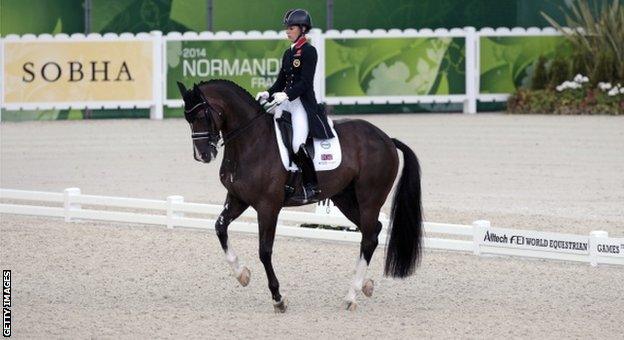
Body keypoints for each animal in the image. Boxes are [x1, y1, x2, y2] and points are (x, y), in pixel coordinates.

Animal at [176, 79, 424, 310]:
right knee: (372, 232)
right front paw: (242, 274)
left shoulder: (268, 206)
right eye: (187, 118)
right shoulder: (238, 199)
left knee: (369, 237)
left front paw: (278, 298)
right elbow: (220, 228)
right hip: (345, 198)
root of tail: (387, 139)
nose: (202, 155)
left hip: (369, 199)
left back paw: (351, 296)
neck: (250, 142)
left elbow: (264, 251)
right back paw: (365, 285)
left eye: (202, 114)